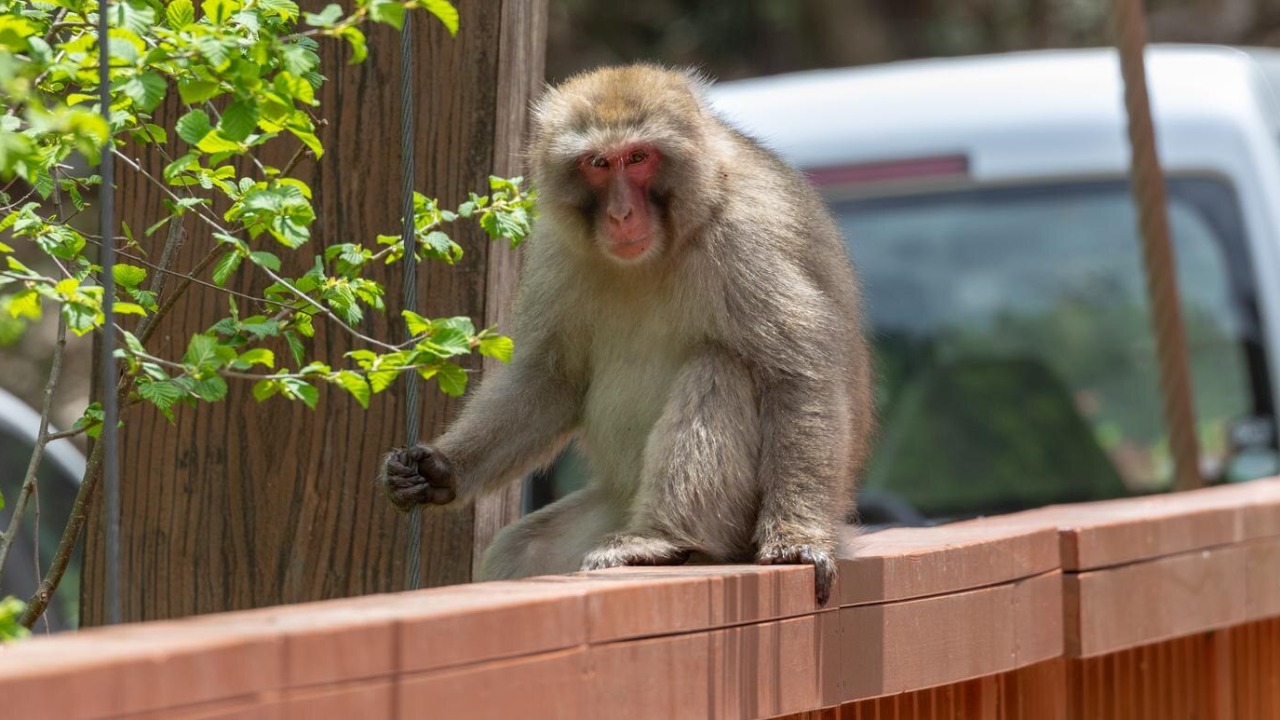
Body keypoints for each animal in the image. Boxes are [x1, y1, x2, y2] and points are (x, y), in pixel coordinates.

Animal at [380, 64, 874, 604]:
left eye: (638, 158)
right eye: (598, 163)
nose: (620, 214)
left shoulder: (746, 238)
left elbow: (796, 377)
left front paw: (797, 538)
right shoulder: (555, 248)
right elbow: (550, 377)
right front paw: (440, 470)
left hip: (734, 523)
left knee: (720, 367)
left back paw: (659, 538)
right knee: (520, 551)